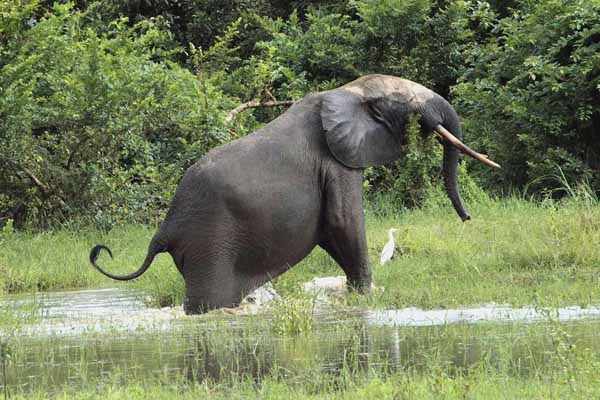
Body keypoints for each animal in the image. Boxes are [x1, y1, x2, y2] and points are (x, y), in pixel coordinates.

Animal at [89, 73, 496, 314]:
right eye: (406, 101)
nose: (468, 218)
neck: (348, 89)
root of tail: (164, 230)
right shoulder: (335, 163)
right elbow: (343, 223)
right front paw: (366, 296)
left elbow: (331, 232)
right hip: (209, 244)